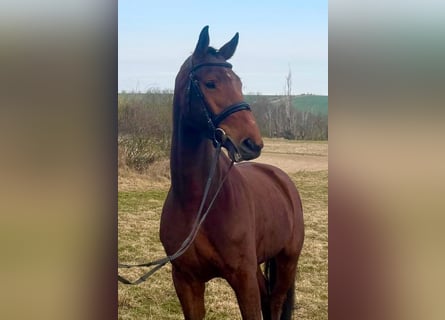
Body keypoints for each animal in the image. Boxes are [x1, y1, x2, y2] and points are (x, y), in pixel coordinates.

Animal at [160, 26, 306, 318]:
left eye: (238, 83)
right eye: (210, 83)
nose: (252, 143)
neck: (198, 202)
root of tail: (282, 179)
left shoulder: (243, 277)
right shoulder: (186, 281)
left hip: (287, 261)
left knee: (275, 302)